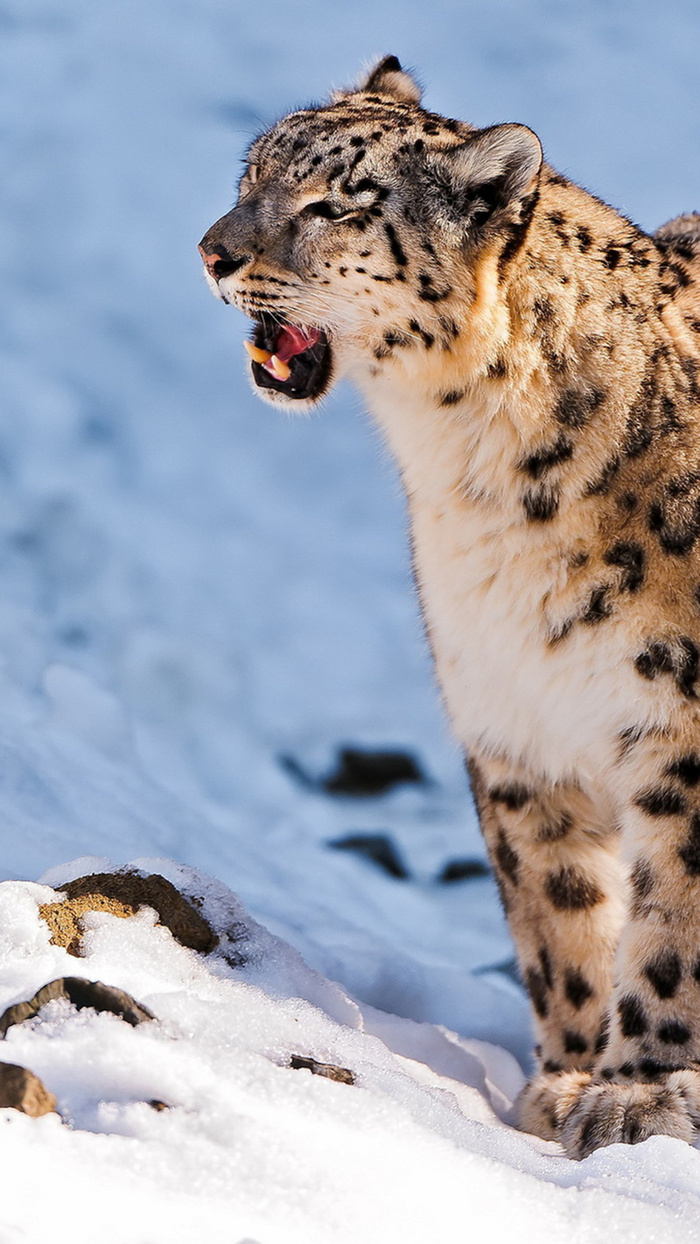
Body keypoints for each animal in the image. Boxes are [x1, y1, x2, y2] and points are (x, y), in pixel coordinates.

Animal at [198, 53, 700, 1159]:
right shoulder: (513, 722)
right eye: (250, 172)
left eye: (335, 201)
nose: (211, 251)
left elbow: (671, 925)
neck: (482, 481)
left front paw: (641, 1097)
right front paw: (564, 1082)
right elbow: (557, 914)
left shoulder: (683, 736)